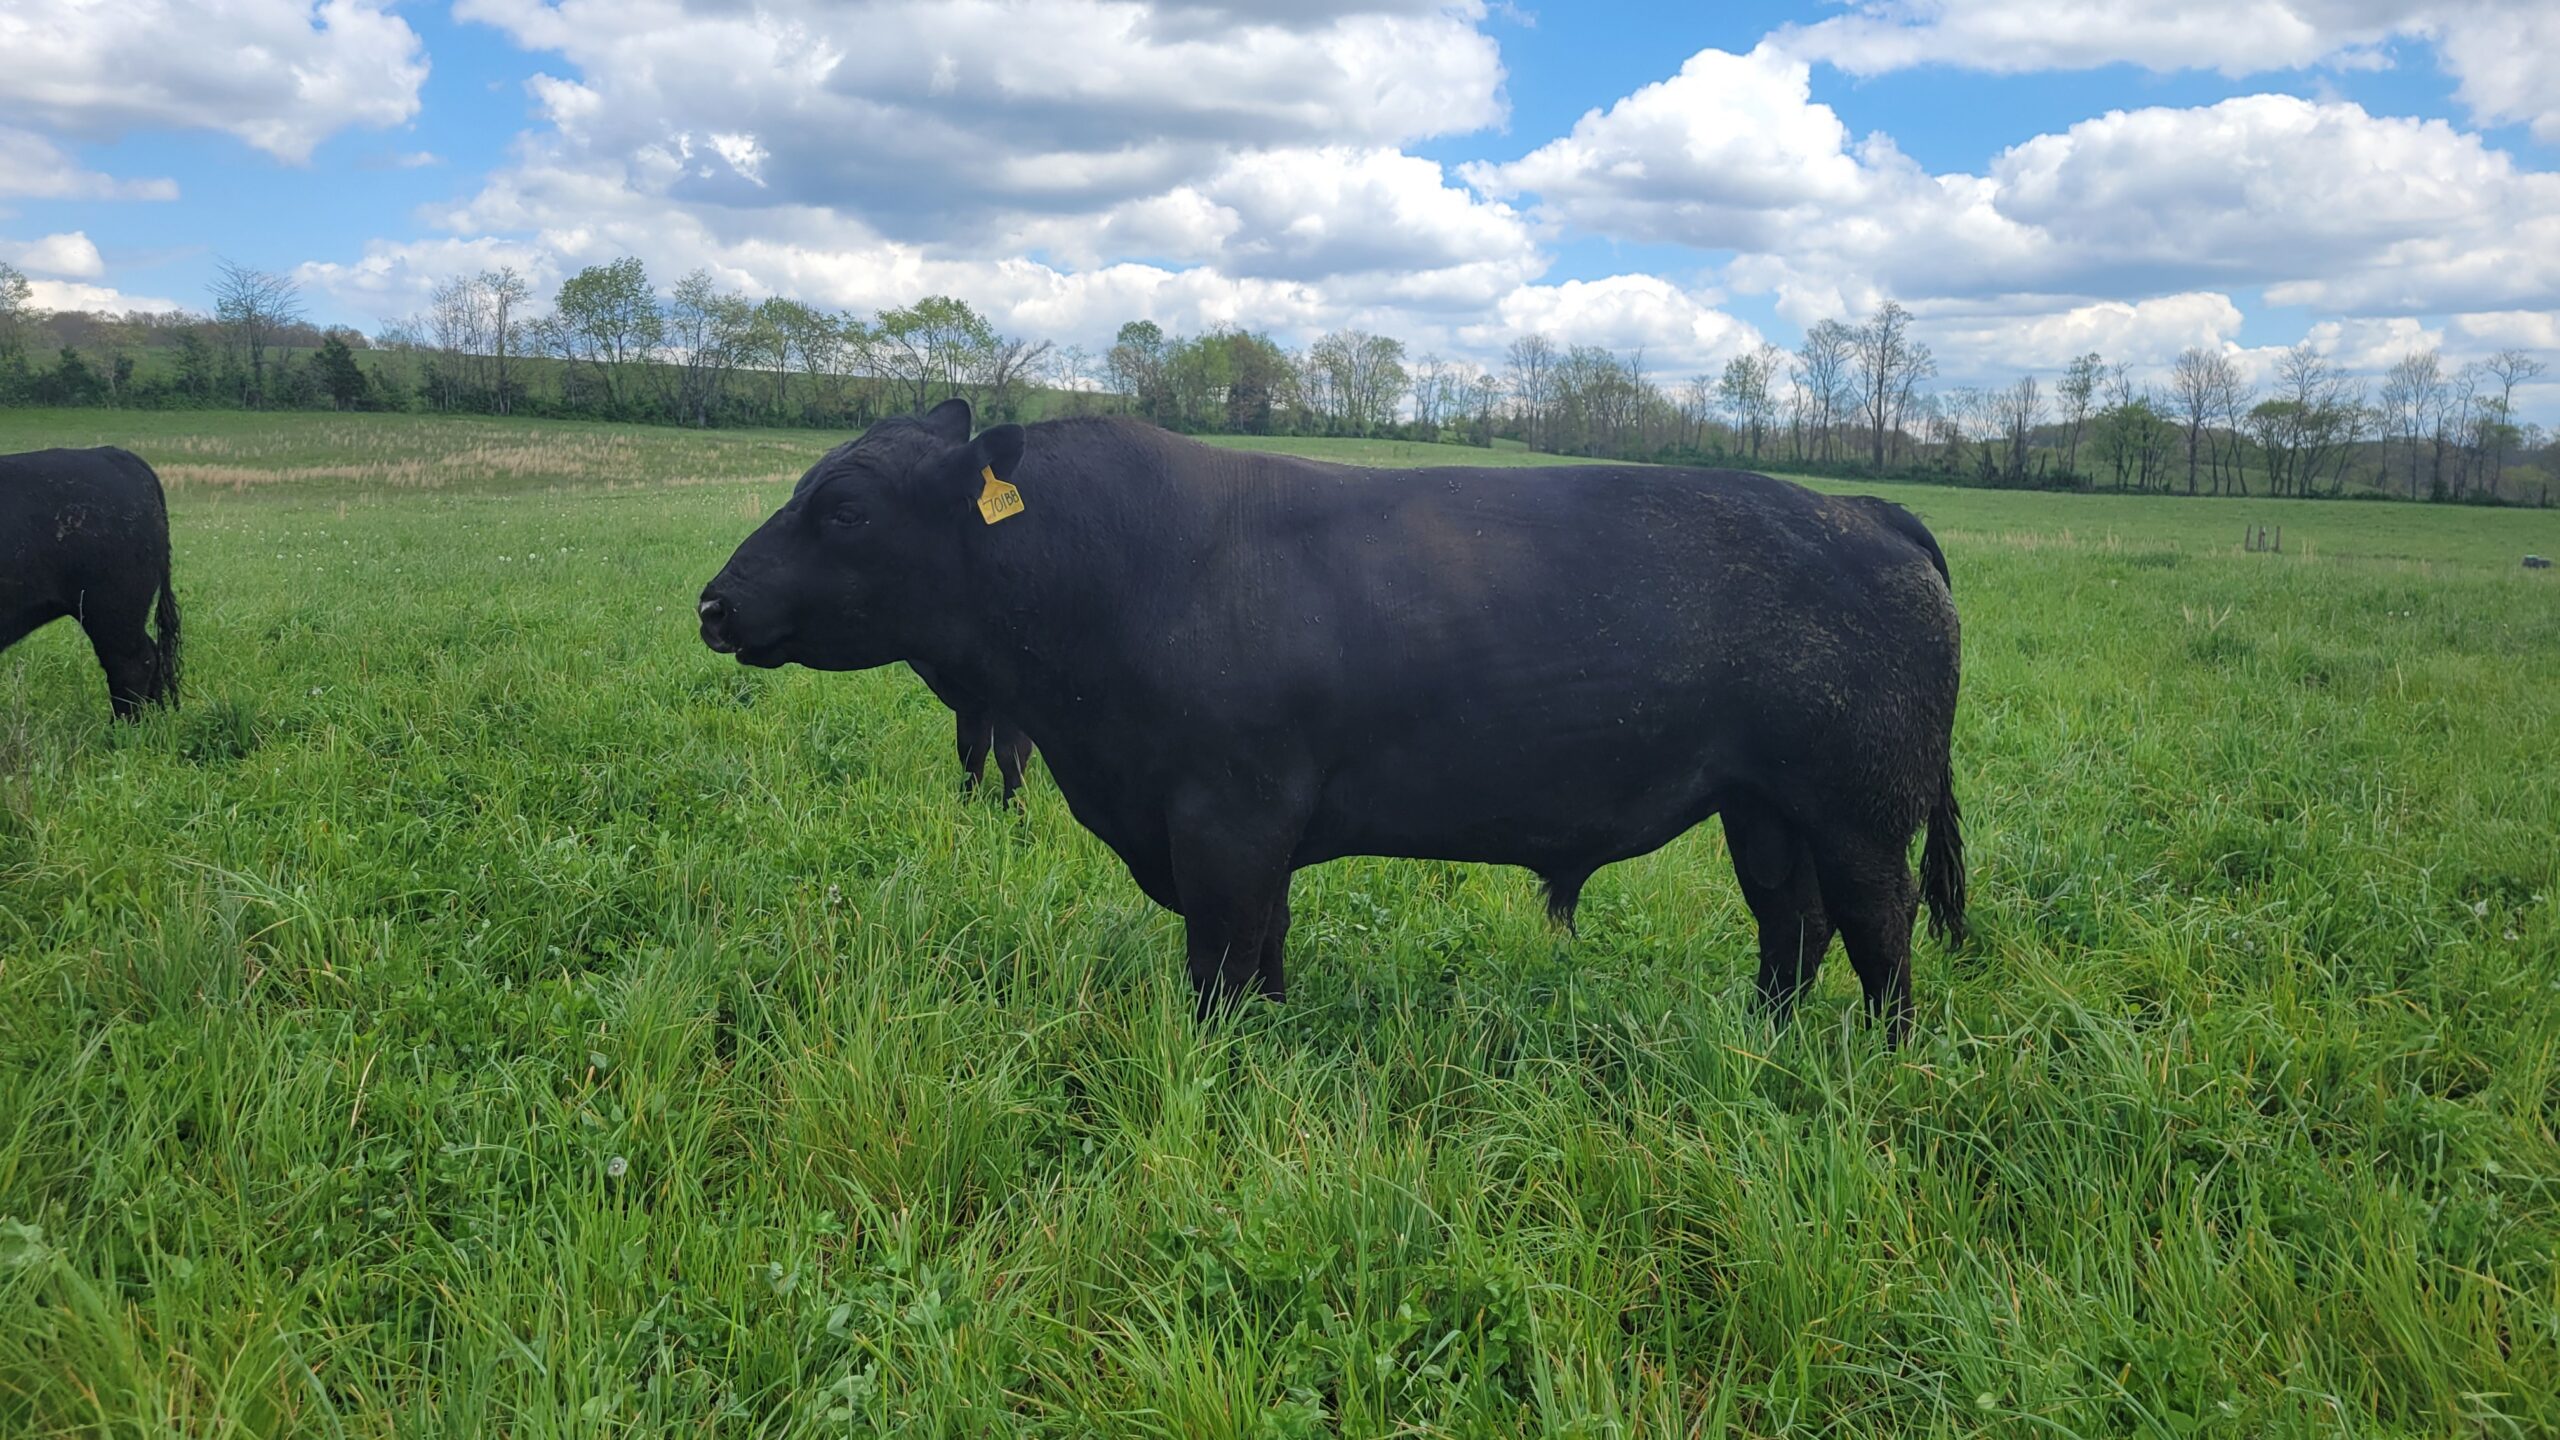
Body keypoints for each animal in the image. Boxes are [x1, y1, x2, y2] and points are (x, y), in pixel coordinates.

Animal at [699, 399, 1966, 1042]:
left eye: (845, 507)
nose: (713, 602)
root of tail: (1863, 508)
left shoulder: (1226, 822)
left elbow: (1219, 966)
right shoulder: (1250, 836)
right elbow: (1264, 954)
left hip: (1860, 806)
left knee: (1879, 928)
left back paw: (1881, 1062)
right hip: (1763, 806)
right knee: (1791, 924)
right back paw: (1765, 1040)